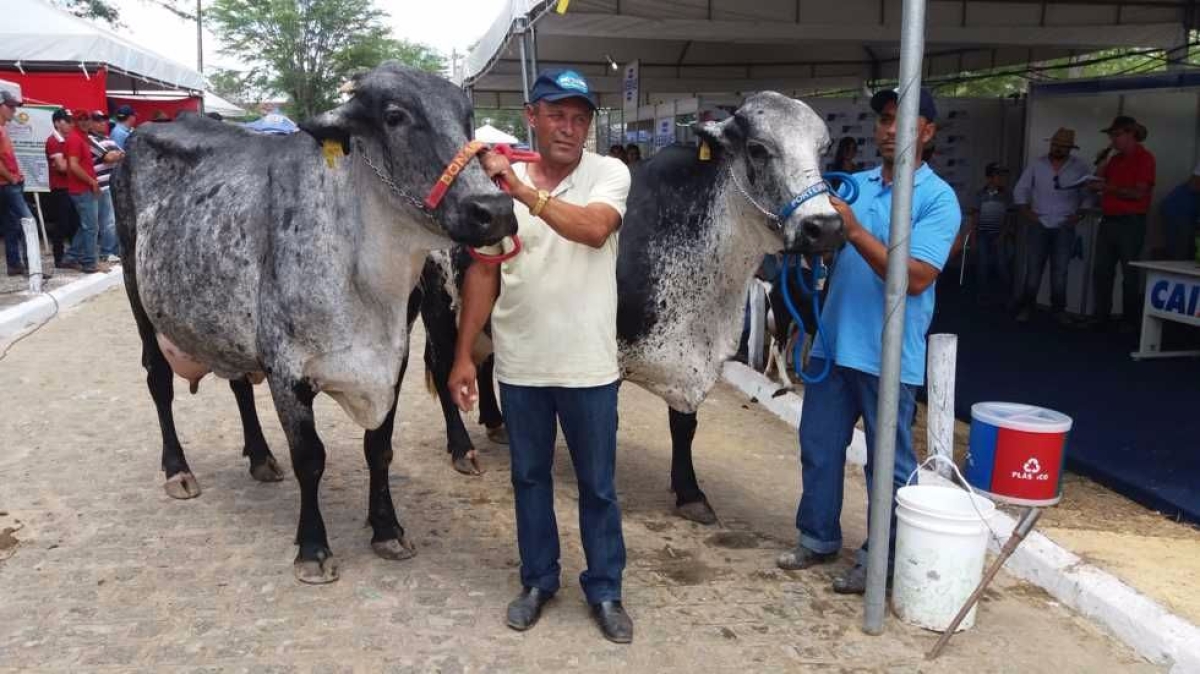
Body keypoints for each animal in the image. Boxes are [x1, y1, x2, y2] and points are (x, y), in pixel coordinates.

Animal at [113, 60, 520, 580]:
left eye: (468, 118)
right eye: (394, 116)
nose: (495, 210)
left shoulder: (392, 362)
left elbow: (379, 449)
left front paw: (387, 529)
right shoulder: (287, 369)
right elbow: (310, 457)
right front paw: (313, 547)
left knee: (239, 385)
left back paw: (261, 458)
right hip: (136, 291)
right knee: (158, 379)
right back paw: (178, 469)